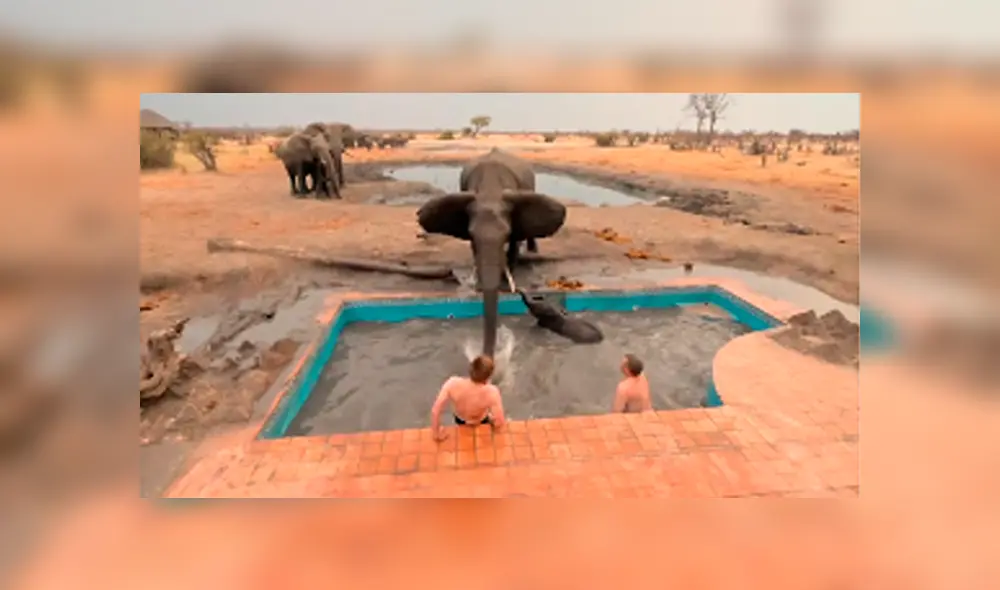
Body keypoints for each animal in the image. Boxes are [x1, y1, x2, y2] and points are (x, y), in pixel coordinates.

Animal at [416, 148, 566, 357]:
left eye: (506, 233)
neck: (490, 191)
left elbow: (515, 242)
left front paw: (505, 284)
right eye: (470, 233)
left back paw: (533, 251)